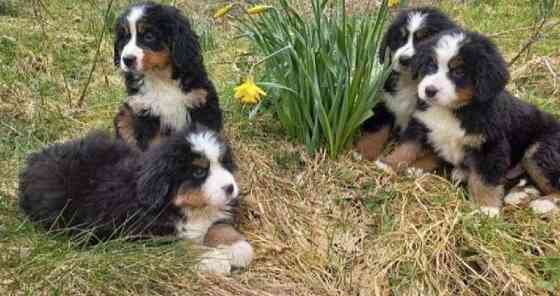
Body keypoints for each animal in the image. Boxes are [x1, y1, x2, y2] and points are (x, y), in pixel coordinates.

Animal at [18, 126, 254, 274]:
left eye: (224, 163)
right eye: (198, 172)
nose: (230, 188)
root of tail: (36, 159)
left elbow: (218, 227)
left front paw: (237, 247)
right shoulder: (144, 236)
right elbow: (181, 247)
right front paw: (213, 259)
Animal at [112, 1, 224, 150]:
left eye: (149, 36)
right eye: (124, 38)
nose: (127, 59)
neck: (161, 77)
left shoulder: (200, 102)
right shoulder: (144, 110)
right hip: (125, 115)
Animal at [356, 6, 458, 169]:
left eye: (425, 39)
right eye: (400, 39)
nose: (404, 60)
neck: (409, 81)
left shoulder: (423, 121)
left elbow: (414, 146)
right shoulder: (384, 101)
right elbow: (378, 129)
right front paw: (364, 151)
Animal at [380, 28, 560, 215]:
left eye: (458, 72)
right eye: (431, 65)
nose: (429, 90)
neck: (451, 109)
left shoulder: (491, 146)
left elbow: (485, 178)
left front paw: (486, 208)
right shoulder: (421, 125)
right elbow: (407, 148)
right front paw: (389, 164)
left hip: (539, 151)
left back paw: (542, 203)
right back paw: (519, 195)